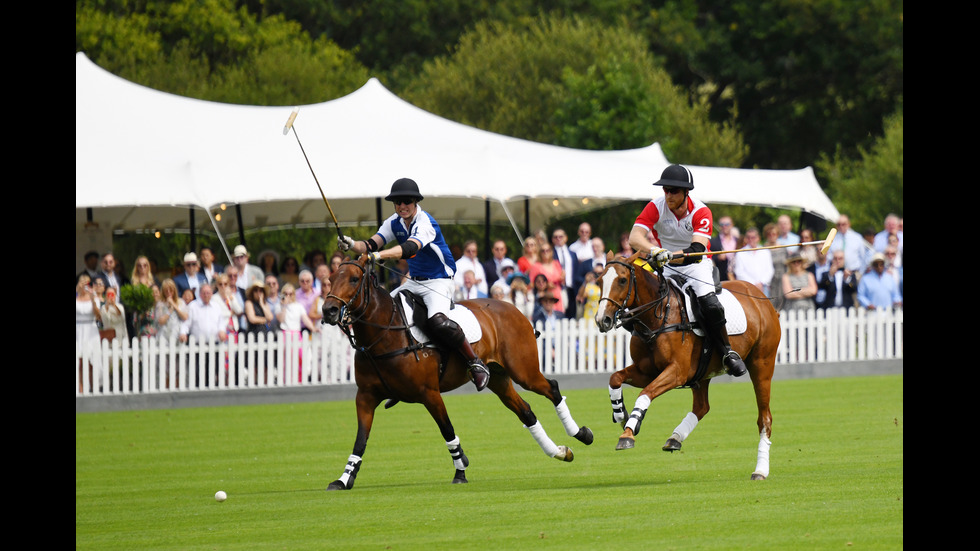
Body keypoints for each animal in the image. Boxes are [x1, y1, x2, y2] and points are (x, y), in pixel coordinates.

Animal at [322, 254, 596, 492]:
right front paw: (344, 479)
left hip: (523, 371)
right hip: (499, 379)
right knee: (526, 411)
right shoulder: (365, 397)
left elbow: (447, 430)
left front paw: (460, 470)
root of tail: (516, 310)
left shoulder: (429, 393)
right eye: (330, 277)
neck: (384, 334)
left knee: (552, 387)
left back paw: (581, 433)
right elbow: (360, 439)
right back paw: (559, 451)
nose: (329, 310)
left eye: (354, 279)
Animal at [592, 252, 776, 480]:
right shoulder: (646, 371)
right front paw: (620, 415)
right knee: (702, 407)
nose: (603, 320)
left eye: (623, 280)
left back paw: (760, 470)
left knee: (764, 418)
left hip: (762, 364)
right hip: (703, 372)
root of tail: (762, 297)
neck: (657, 318)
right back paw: (675, 438)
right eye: (600, 280)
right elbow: (615, 378)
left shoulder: (676, 372)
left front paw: (628, 432)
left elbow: (645, 393)